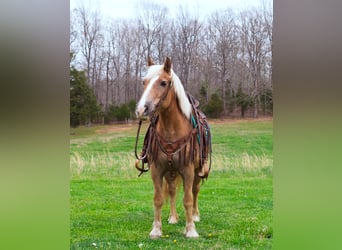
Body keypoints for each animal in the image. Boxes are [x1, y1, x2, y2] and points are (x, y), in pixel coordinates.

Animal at [134, 56, 210, 238]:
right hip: (170, 171)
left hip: (197, 170)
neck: (172, 130)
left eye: (163, 82)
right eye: (144, 82)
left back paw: (195, 216)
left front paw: (191, 230)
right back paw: (173, 217)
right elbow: (158, 199)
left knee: (195, 190)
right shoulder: (157, 169)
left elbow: (188, 199)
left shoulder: (188, 170)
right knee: (172, 190)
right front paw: (156, 229)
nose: (141, 110)